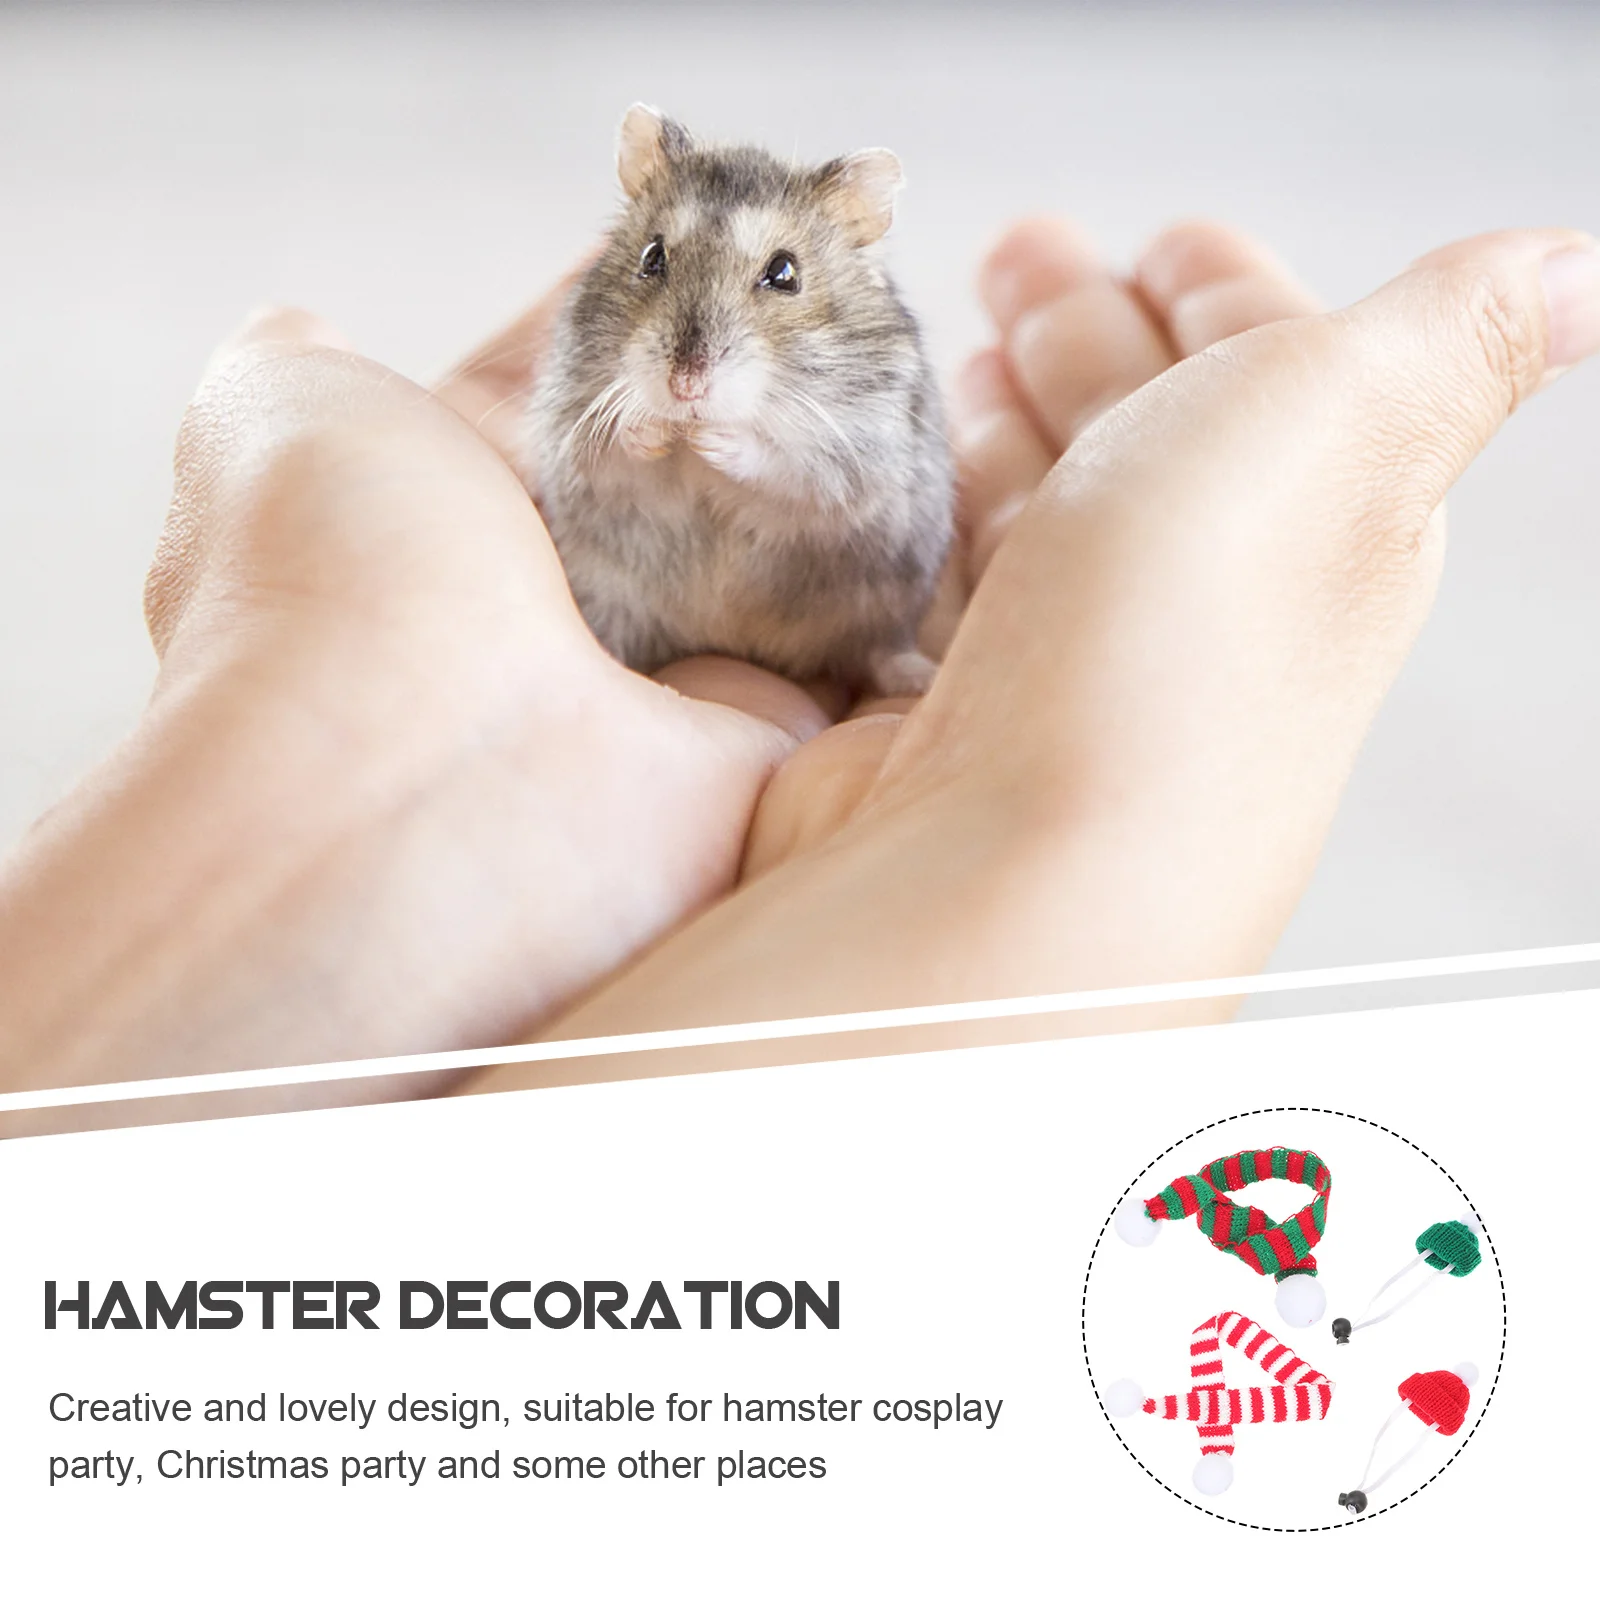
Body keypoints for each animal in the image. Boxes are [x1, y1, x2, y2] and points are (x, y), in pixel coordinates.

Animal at [523, 105, 955, 697]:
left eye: (785, 273)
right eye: (652, 256)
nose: (685, 387)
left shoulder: (861, 456)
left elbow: (788, 468)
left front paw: (716, 439)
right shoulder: (571, 432)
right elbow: (611, 451)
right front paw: (650, 428)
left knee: (878, 650)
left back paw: (918, 679)